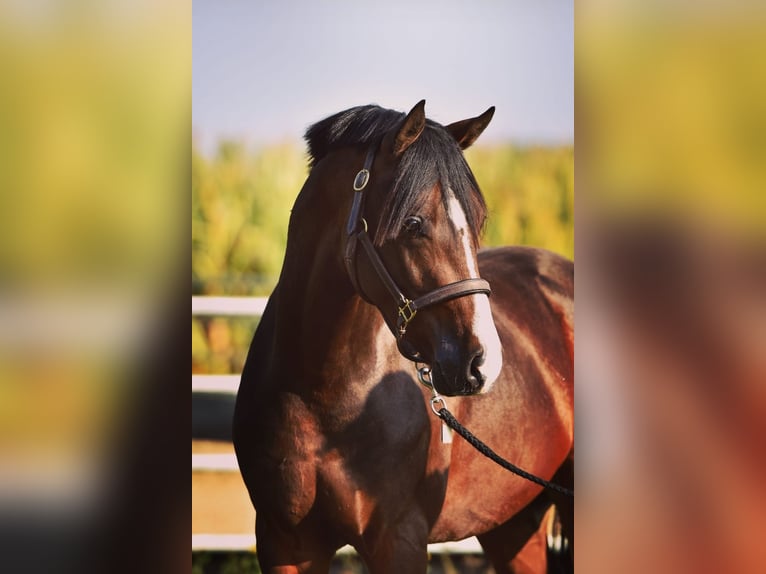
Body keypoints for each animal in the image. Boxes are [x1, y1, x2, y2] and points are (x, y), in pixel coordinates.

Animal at [234, 101, 576, 572]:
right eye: (413, 223)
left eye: (478, 220)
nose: (482, 363)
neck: (320, 395)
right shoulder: (283, 544)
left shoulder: (400, 542)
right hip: (512, 523)